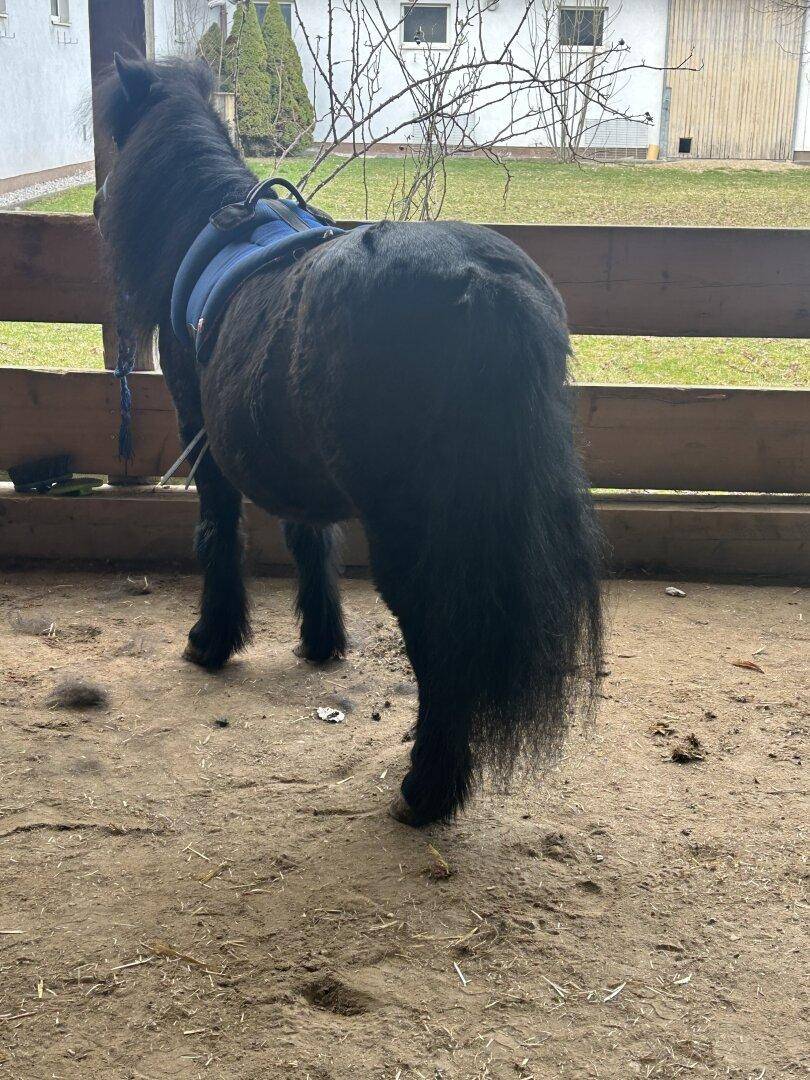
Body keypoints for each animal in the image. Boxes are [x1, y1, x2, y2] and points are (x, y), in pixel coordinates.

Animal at [94, 55, 604, 828]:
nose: (95, 202)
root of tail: (481, 284)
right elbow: (311, 539)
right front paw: (321, 640)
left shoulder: (204, 441)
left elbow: (219, 534)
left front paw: (212, 640)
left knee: (440, 641)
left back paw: (426, 791)